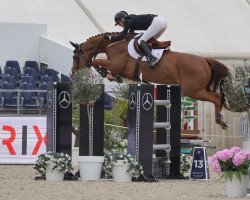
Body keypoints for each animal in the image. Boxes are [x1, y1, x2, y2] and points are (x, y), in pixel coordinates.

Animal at [69, 32, 231, 130]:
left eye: (75, 57)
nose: (72, 74)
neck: (112, 44)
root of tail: (205, 60)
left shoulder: (115, 64)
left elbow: (96, 61)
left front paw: (107, 74)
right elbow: (97, 62)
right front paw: (111, 75)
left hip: (193, 90)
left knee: (217, 97)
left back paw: (220, 121)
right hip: (199, 89)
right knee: (217, 97)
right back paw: (222, 120)